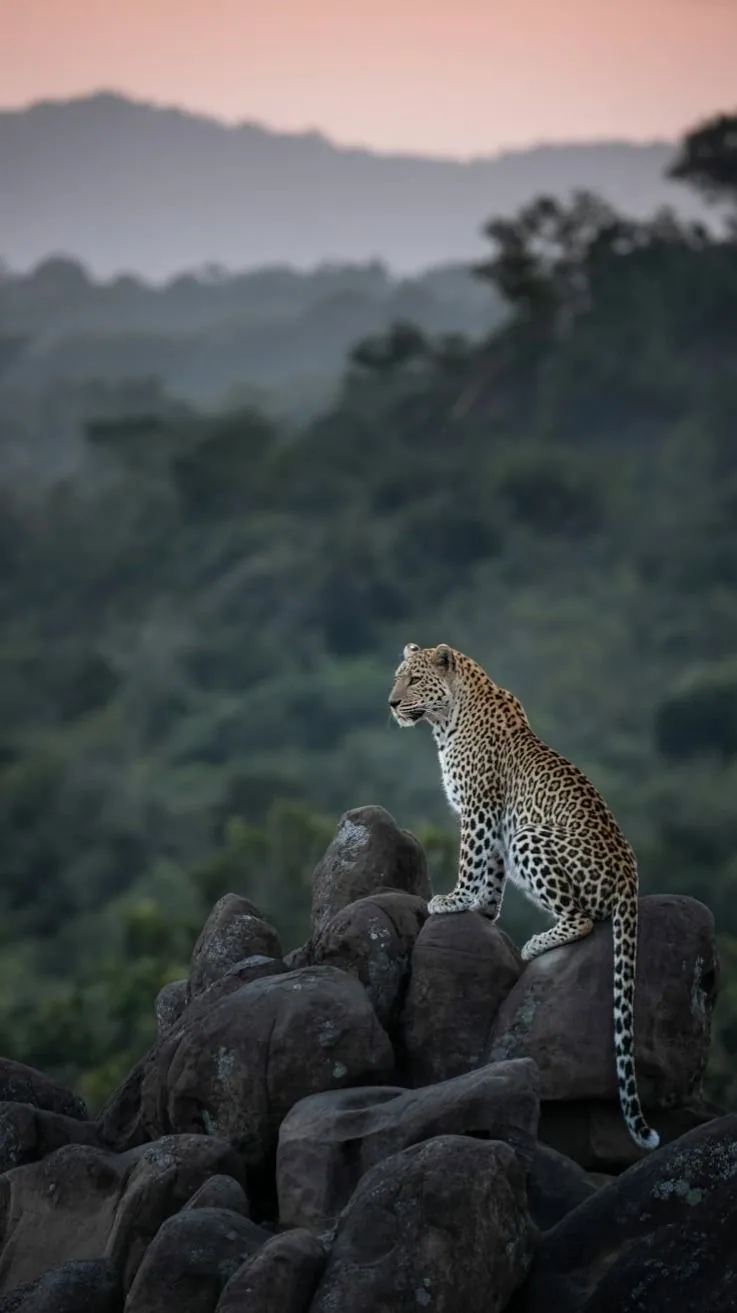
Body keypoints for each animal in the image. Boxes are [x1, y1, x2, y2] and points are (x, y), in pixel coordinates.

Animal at [388, 640, 659, 1152]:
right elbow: (490, 873)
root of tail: (631, 880)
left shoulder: (478, 809)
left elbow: (470, 858)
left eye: (412, 680)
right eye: (398, 677)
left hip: (530, 836)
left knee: (583, 919)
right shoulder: (494, 821)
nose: (392, 703)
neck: (447, 717)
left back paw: (538, 943)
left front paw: (453, 900)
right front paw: (482, 908)